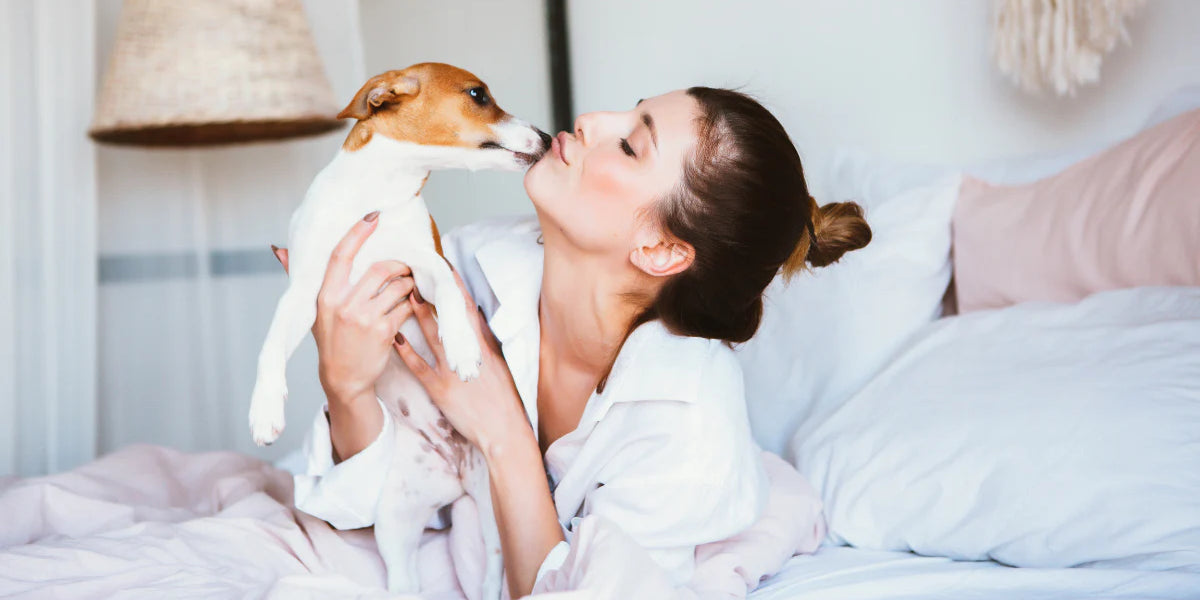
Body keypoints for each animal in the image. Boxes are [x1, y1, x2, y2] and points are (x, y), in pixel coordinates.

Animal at [248, 60, 549, 595]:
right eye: (478, 95)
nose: (549, 137)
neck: (375, 195)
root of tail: (453, 477)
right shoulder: (305, 291)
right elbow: (270, 347)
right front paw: (265, 411)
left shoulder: (421, 270)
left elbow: (448, 287)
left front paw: (462, 348)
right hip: (394, 524)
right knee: (405, 579)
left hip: (495, 516)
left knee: (493, 573)